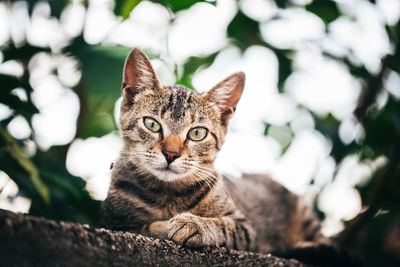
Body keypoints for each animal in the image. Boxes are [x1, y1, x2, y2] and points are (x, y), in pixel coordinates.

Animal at [101, 48, 360, 266]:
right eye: (152, 124)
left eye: (197, 133)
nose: (171, 154)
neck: (169, 195)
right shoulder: (113, 219)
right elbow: (141, 225)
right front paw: (163, 225)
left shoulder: (246, 229)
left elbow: (224, 227)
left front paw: (194, 223)